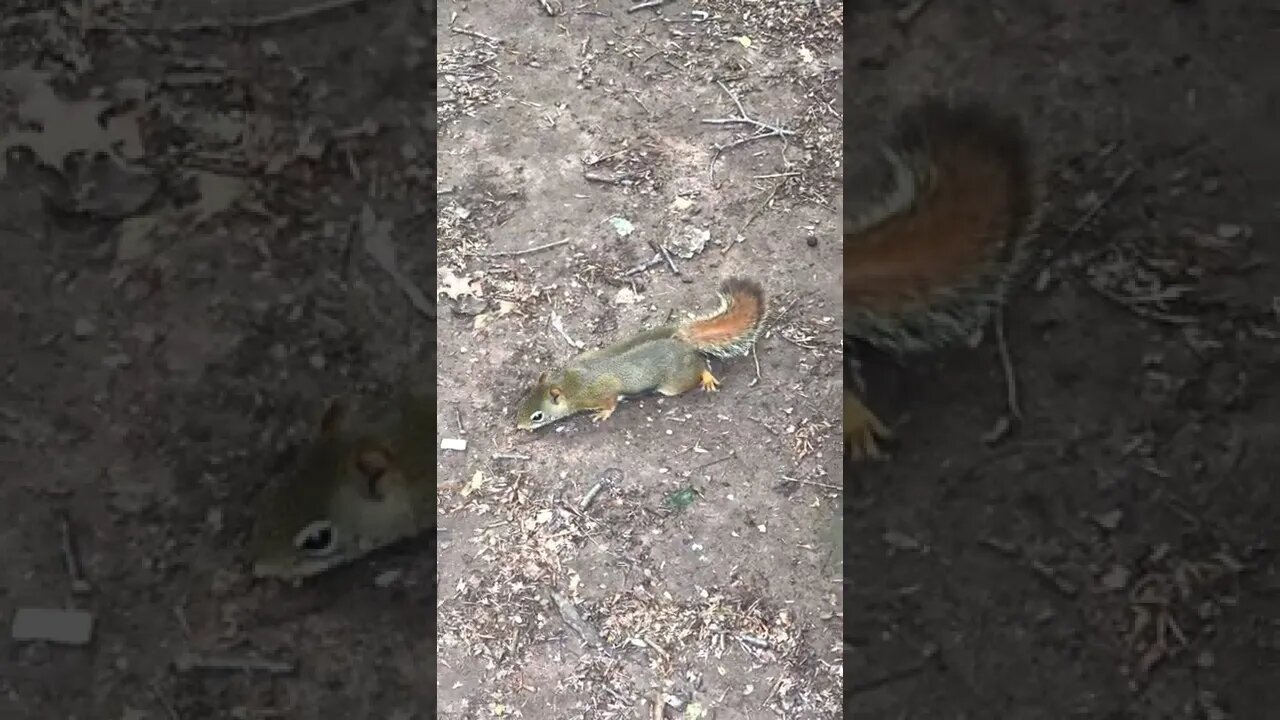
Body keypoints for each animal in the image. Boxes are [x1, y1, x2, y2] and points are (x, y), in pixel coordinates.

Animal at [514, 275, 762, 427]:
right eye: (523, 400)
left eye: (537, 416)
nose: (519, 426)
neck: (568, 383)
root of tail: (681, 340)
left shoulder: (599, 393)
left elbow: (610, 403)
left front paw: (603, 414)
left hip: (674, 383)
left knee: (700, 367)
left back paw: (707, 377)